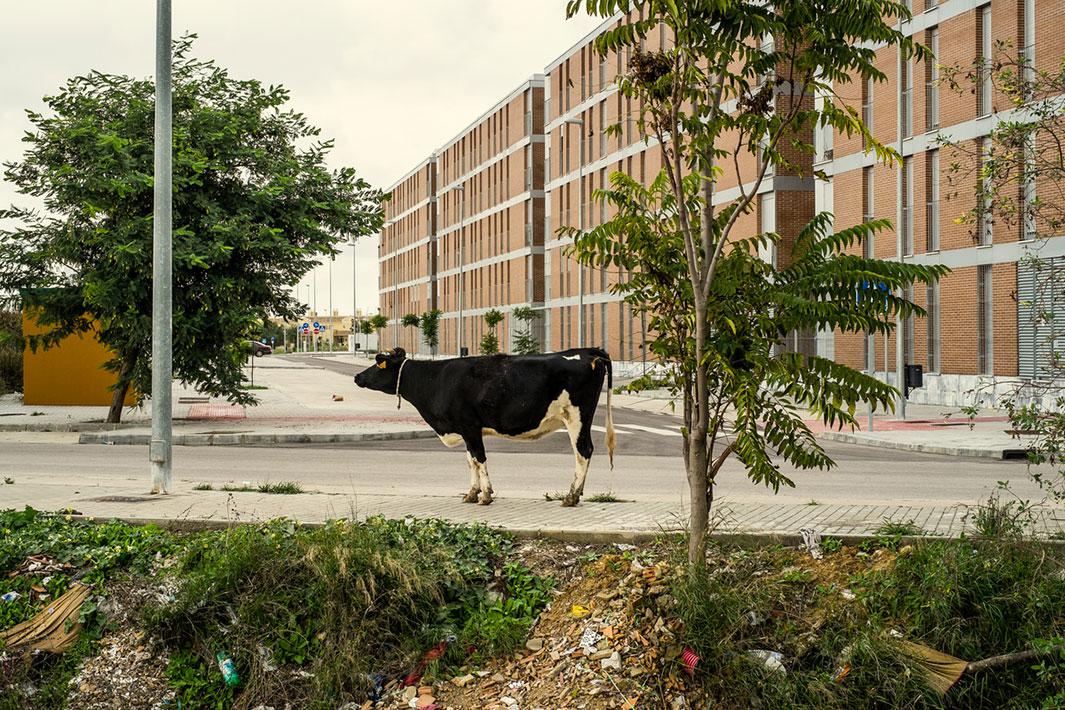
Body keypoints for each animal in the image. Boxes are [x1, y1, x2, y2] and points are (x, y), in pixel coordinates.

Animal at [353, 349, 617, 504]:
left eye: (378, 364)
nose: (357, 377)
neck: (435, 381)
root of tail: (587, 352)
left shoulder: (469, 426)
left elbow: (479, 459)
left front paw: (487, 495)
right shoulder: (465, 429)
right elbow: (470, 460)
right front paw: (472, 493)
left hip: (577, 416)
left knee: (583, 451)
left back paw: (571, 496)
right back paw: (577, 494)